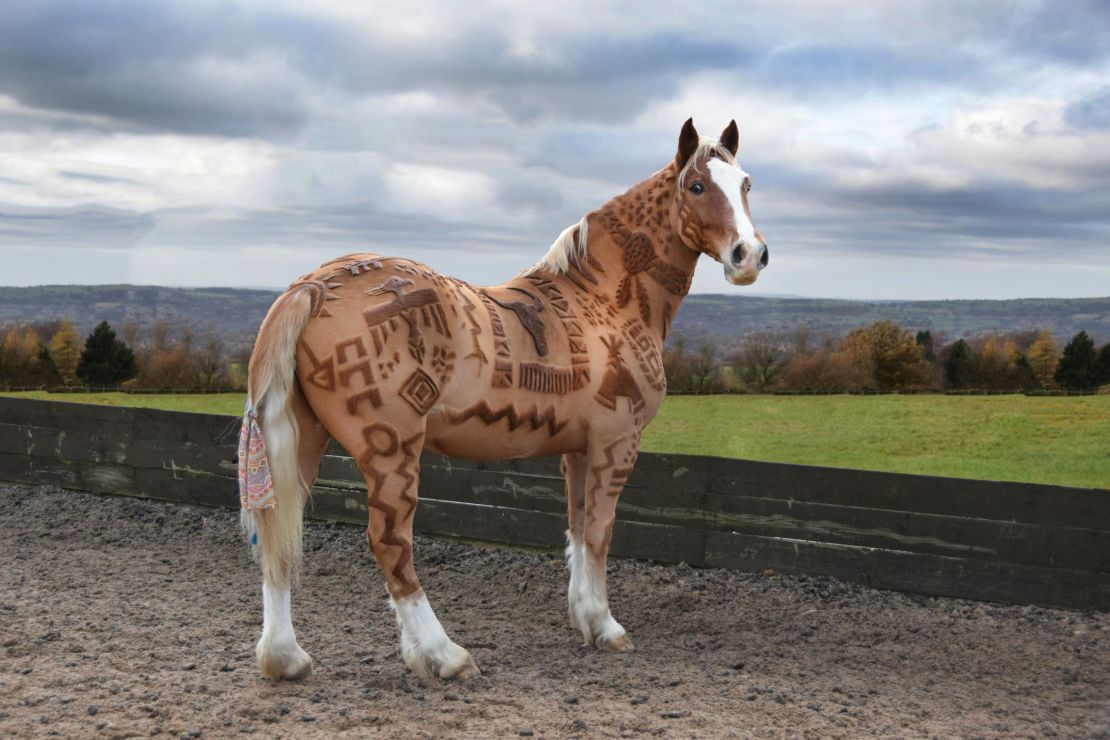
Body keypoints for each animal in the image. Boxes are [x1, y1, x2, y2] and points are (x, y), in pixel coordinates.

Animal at [238, 117, 768, 683]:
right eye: (697, 186)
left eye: (746, 184)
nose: (749, 255)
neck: (602, 301)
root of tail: (314, 287)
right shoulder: (615, 444)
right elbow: (600, 534)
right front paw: (607, 627)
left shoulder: (577, 451)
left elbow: (578, 530)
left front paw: (585, 617)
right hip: (392, 451)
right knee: (390, 545)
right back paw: (443, 654)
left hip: (304, 443)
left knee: (279, 541)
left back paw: (286, 657)